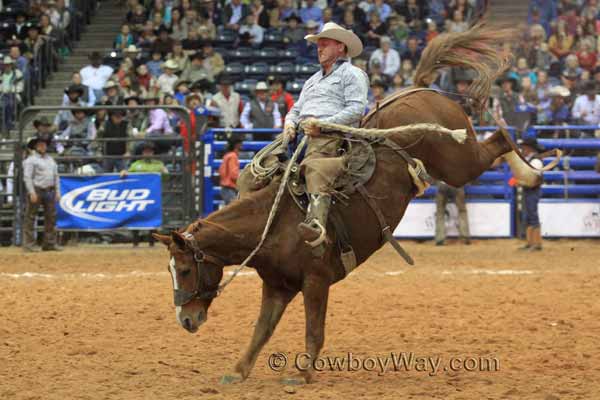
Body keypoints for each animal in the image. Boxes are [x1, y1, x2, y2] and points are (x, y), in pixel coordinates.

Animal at [154, 22, 556, 384]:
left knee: (500, 138)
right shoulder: (277, 285)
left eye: (185, 270)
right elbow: (261, 330)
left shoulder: (316, 281)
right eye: (171, 270)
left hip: (458, 160)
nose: (185, 320)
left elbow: (313, 329)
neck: (272, 228)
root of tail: (418, 88)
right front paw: (238, 371)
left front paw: (302, 373)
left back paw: (531, 174)